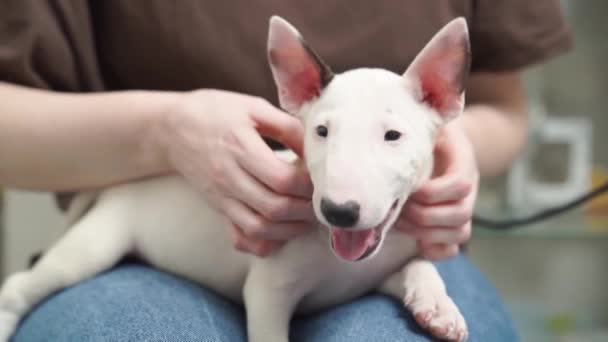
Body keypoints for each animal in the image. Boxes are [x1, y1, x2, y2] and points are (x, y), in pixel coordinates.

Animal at [0, 14, 472, 340]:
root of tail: (118, 186)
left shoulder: (375, 271)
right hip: (94, 245)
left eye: (393, 135)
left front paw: (438, 305)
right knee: (25, 282)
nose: (339, 212)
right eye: (321, 131)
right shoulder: (267, 291)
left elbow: (419, 265)